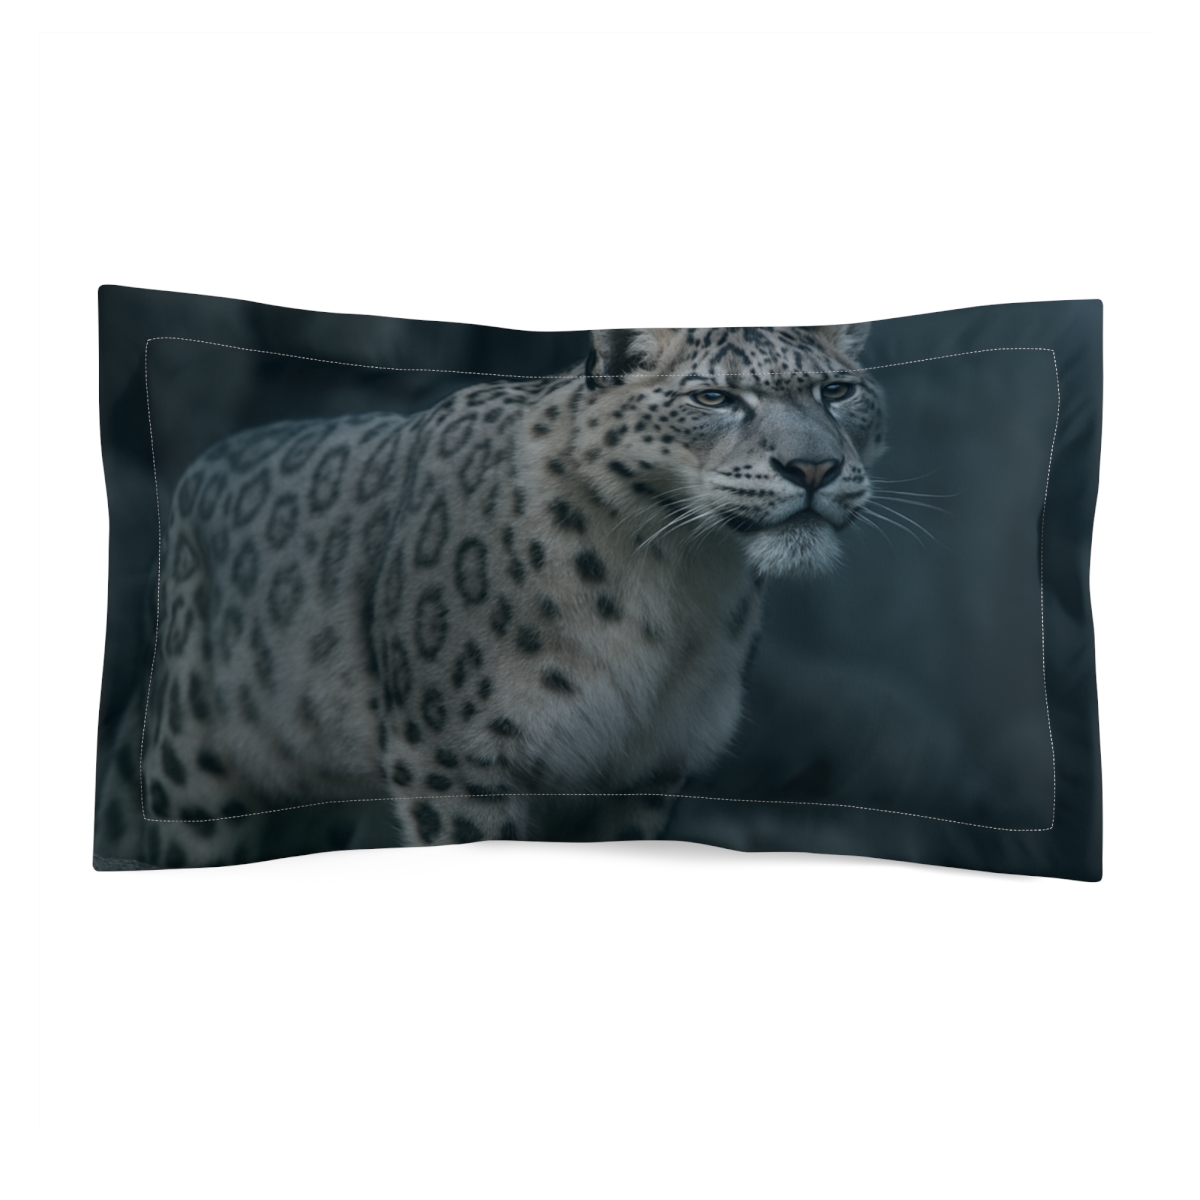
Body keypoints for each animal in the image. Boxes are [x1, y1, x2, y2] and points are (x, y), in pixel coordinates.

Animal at [94, 324, 886, 868]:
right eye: (714, 397)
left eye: (836, 390)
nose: (814, 466)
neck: (680, 586)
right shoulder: (458, 758)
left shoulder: (646, 768)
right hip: (195, 782)